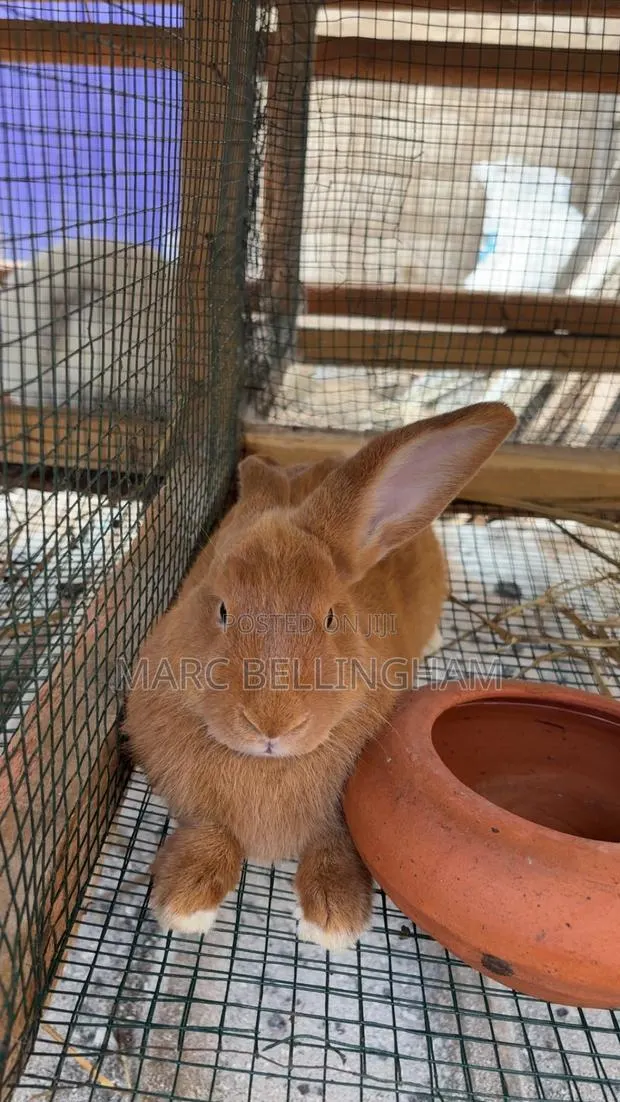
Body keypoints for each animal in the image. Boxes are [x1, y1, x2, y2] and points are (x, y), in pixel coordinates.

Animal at [125, 401, 516, 951]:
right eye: (221, 609)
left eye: (331, 617)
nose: (272, 726)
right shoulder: (196, 807)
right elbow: (211, 835)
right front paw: (185, 905)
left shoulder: (343, 818)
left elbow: (335, 844)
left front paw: (334, 921)